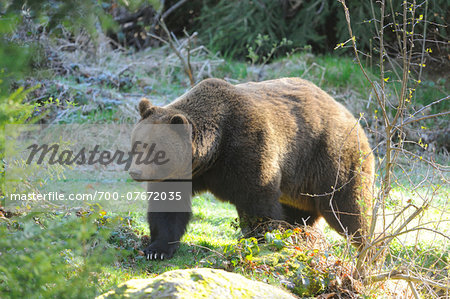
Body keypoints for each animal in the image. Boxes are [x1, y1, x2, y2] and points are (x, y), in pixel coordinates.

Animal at [129, 78, 372, 262]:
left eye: (155, 150)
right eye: (137, 145)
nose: (135, 173)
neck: (211, 154)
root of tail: (351, 116)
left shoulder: (247, 147)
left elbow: (257, 200)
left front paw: (260, 239)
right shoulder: (181, 174)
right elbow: (167, 208)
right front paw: (156, 249)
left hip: (330, 159)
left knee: (349, 209)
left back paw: (368, 250)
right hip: (301, 183)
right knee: (301, 216)